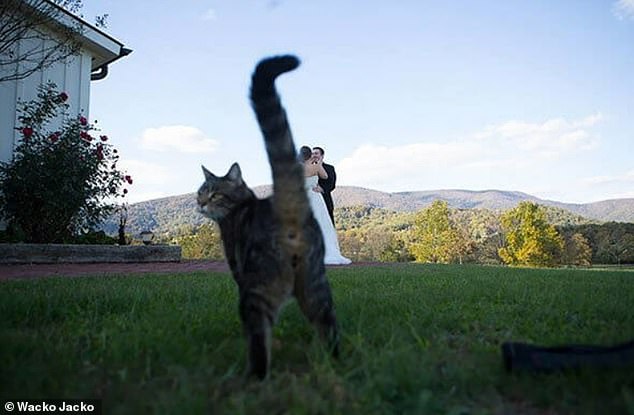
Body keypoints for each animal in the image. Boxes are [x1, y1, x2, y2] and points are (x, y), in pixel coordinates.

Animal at [196, 55, 336, 380]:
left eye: (214, 194)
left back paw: (254, 377)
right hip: (314, 283)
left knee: (259, 337)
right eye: (200, 192)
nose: (201, 204)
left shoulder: (240, 272)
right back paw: (332, 362)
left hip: (257, 288)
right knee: (329, 324)